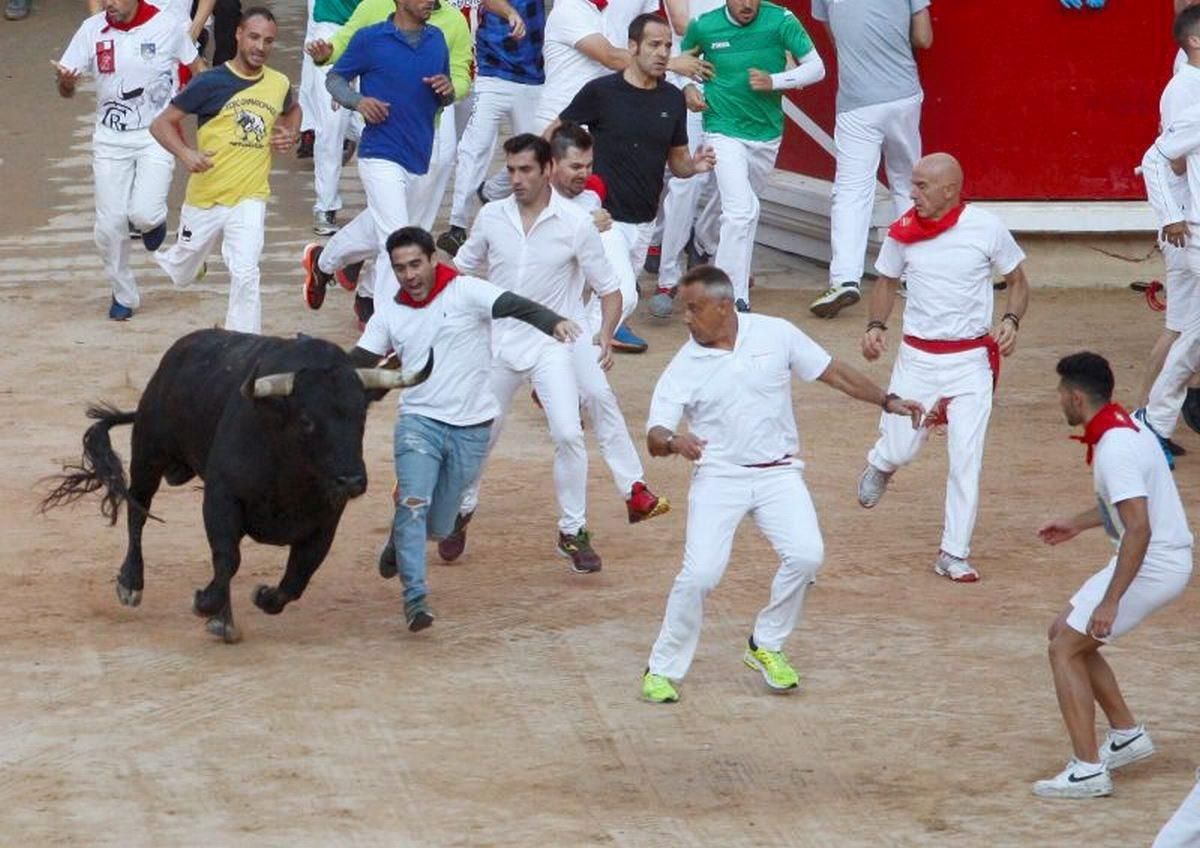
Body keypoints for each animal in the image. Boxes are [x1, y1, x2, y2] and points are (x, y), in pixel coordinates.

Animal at [42, 331, 432, 642]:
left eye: (361, 415)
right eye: (307, 420)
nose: (351, 480)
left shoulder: (326, 519)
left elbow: (298, 576)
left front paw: (263, 597)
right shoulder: (221, 498)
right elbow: (228, 559)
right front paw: (210, 609)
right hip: (148, 455)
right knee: (137, 512)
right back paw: (130, 583)